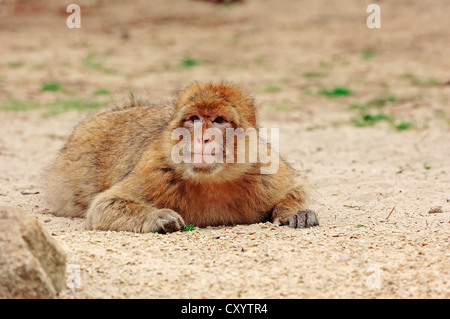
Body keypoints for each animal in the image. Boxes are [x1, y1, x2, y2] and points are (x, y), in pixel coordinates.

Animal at [44, 81, 318, 234]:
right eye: (194, 119)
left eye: (219, 120)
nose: (202, 137)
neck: (212, 181)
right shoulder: (155, 170)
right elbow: (103, 207)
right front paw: (157, 217)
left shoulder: (263, 167)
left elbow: (296, 187)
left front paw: (294, 212)